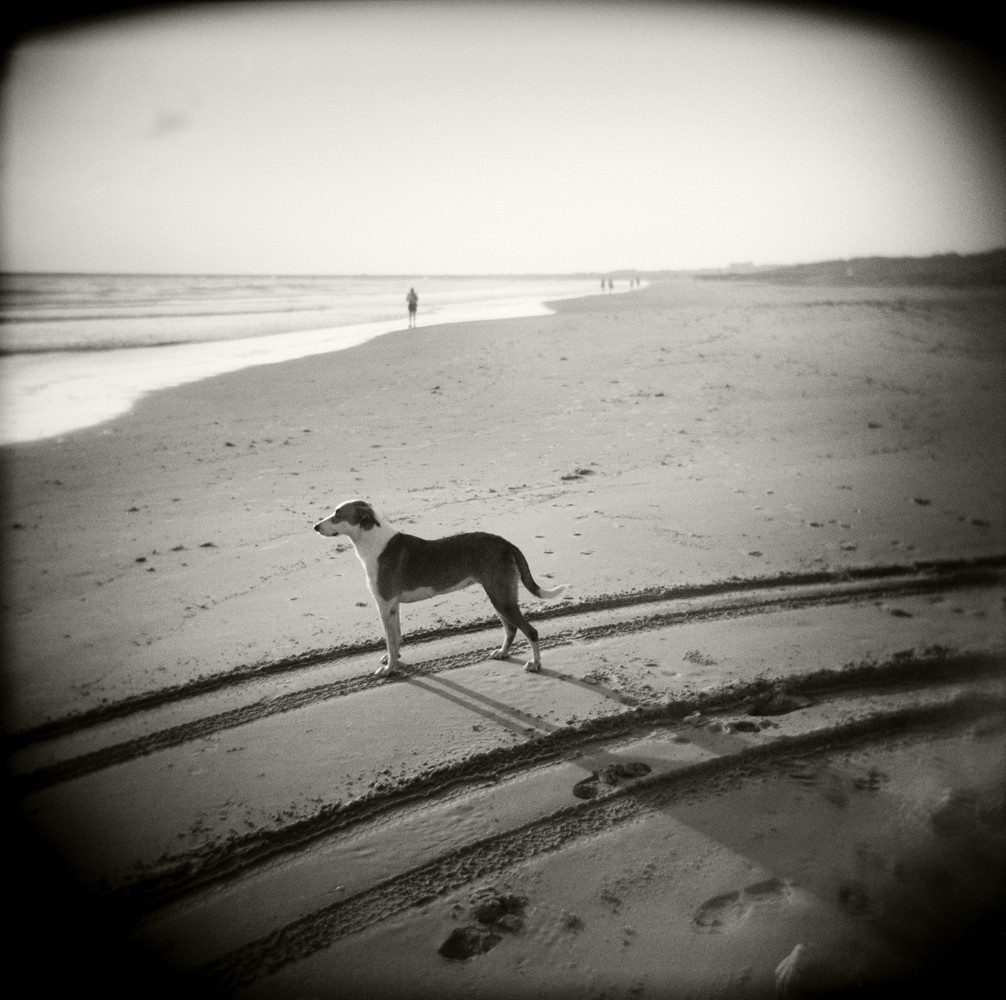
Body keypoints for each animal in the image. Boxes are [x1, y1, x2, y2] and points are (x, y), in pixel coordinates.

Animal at [311, 503, 567, 676]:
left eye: (337, 514)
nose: (315, 526)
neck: (374, 543)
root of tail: (506, 543)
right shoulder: (393, 605)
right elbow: (396, 637)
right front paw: (393, 659)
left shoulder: (384, 603)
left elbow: (390, 640)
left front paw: (389, 669)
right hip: (499, 595)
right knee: (511, 629)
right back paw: (502, 653)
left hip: (501, 597)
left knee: (530, 631)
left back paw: (536, 664)